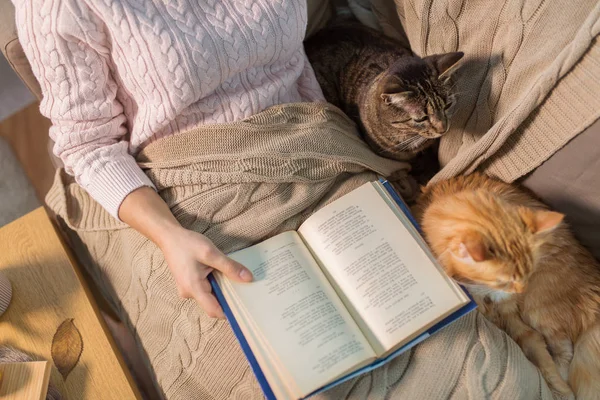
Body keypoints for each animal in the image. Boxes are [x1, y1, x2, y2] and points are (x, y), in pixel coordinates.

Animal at [414, 173, 600, 398]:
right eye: (503, 280)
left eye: (528, 272)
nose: (521, 290)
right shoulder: (510, 318)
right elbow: (536, 349)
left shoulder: (512, 313)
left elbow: (544, 359)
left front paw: (561, 391)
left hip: (537, 309)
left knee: (565, 348)